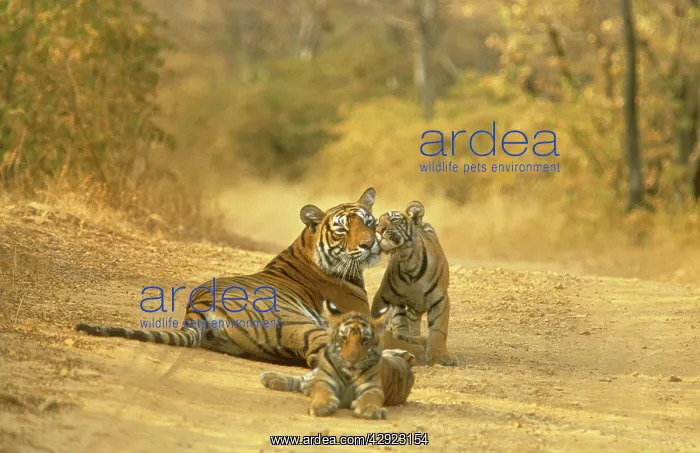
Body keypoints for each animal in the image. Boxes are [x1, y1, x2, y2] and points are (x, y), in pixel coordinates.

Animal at [260, 300, 415, 419]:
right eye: (344, 338)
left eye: (365, 340)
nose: (352, 361)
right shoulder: (325, 381)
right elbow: (321, 392)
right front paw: (322, 406)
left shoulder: (372, 387)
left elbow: (370, 397)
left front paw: (368, 410)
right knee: (302, 379)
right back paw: (271, 378)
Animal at [370, 200, 459, 367]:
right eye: (377, 223)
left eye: (394, 219)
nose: (378, 229)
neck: (408, 262)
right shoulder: (383, 296)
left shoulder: (440, 299)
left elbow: (439, 330)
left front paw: (439, 356)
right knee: (400, 324)